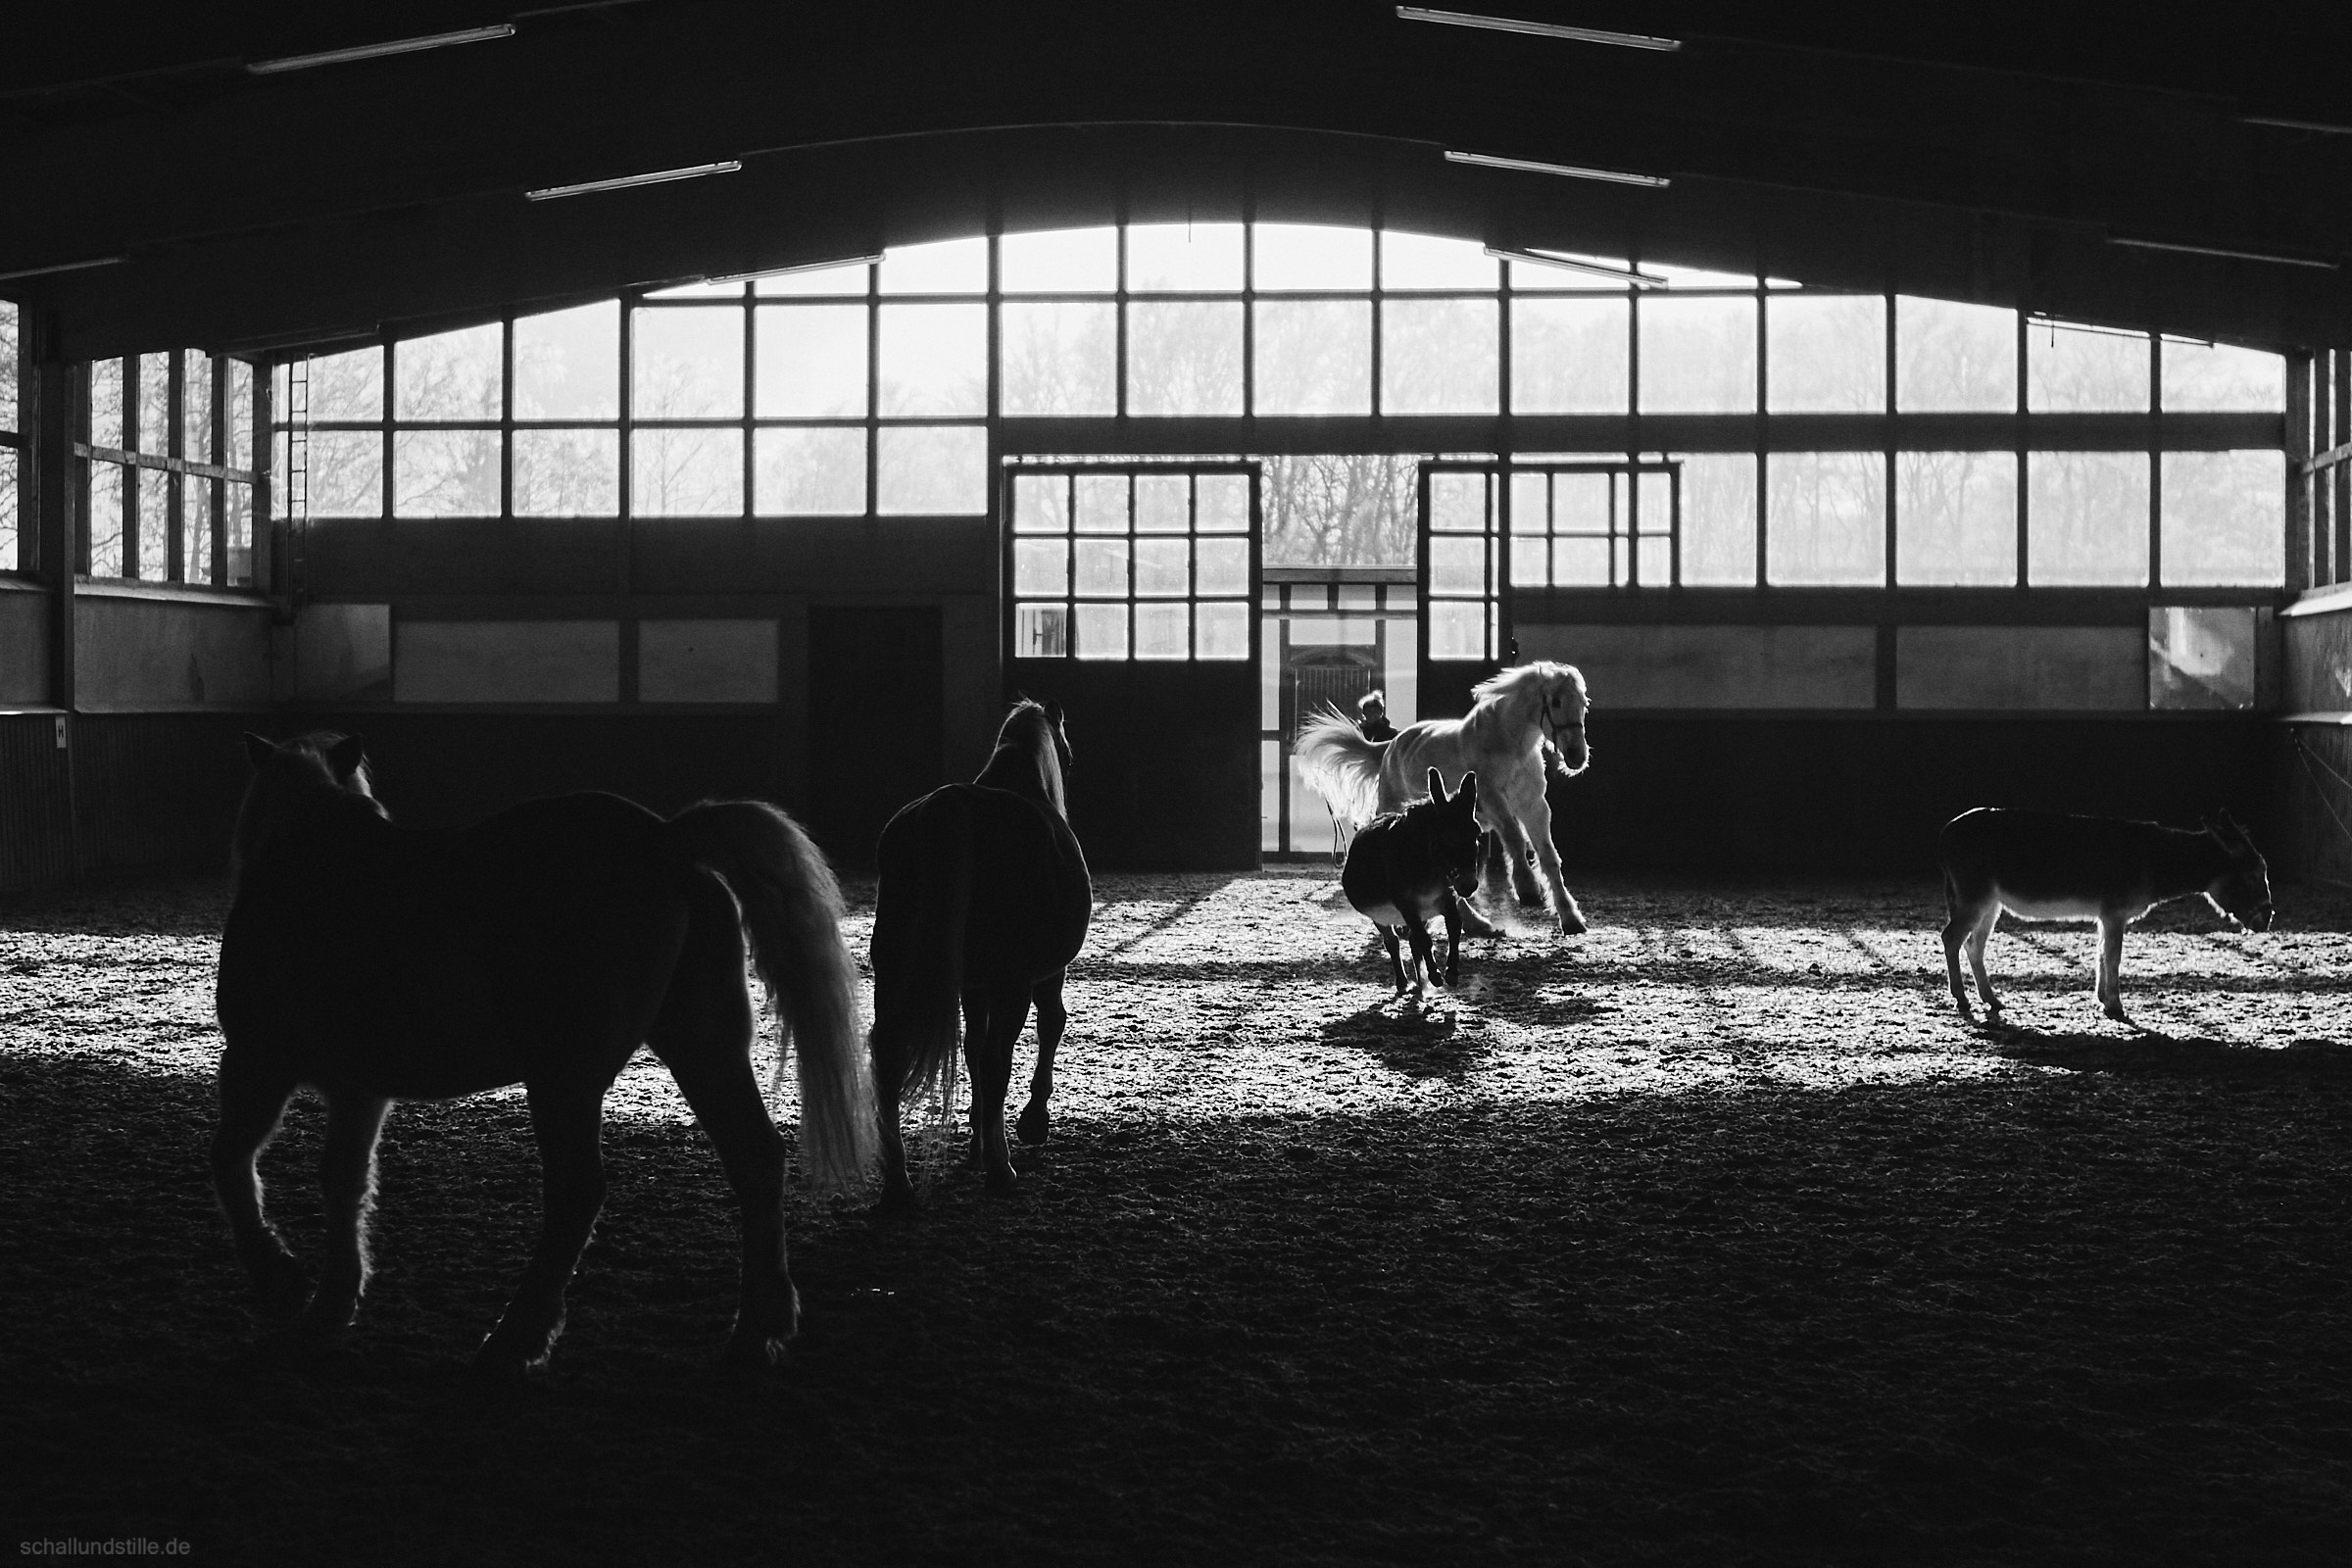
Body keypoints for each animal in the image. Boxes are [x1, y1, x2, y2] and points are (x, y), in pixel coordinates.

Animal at [209, 728, 874, 1363]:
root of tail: (664, 840)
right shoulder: (360, 1091)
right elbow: (345, 1183)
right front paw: (328, 1305)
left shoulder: (258, 1062)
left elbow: (232, 1163)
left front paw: (280, 1281)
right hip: (703, 1048)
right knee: (756, 1160)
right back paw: (758, 1328)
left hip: (565, 1077)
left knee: (578, 1192)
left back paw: (517, 1338)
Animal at [870, 700, 1086, 1212]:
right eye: (1069, 757)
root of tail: (951, 811)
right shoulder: (1042, 975)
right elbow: (1049, 1026)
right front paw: (1031, 1122)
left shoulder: (973, 985)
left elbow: (970, 1048)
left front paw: (975, 1139)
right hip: (1012, 981)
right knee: (996, 1059)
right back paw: (1001, 1169)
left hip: (892, 969)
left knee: (889, 1052)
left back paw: (899, 1185)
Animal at [1289, 662, 1599, 930]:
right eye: (1556, 701)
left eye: (1583, 703)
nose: (1576, 756)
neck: (1509, 746)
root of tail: (1390, 746)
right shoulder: (1493, 802)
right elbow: (1514, 837)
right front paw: (1527, 888)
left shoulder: (1534, 806)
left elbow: (1548, 856)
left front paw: (1570, 918)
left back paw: (1476, 924)